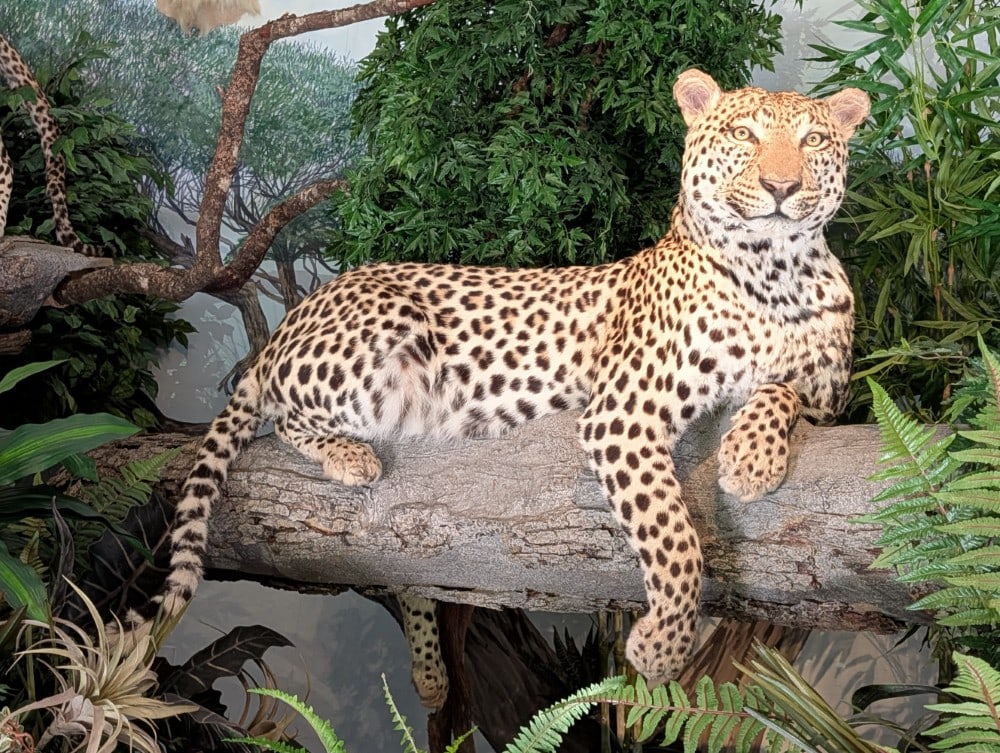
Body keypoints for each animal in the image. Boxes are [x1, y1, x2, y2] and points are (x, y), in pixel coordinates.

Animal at [123, 69, 869, 700]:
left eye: (813, 141)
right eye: (744, 134)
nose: (781, 187)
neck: (777, 272)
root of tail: (293, 317)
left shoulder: (829, 399)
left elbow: (784, 389)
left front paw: (751, 455)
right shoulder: (622, 411)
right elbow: (672, 535)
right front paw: (661, 646)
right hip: (377, 341)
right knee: (281, 412)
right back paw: (349, 456)